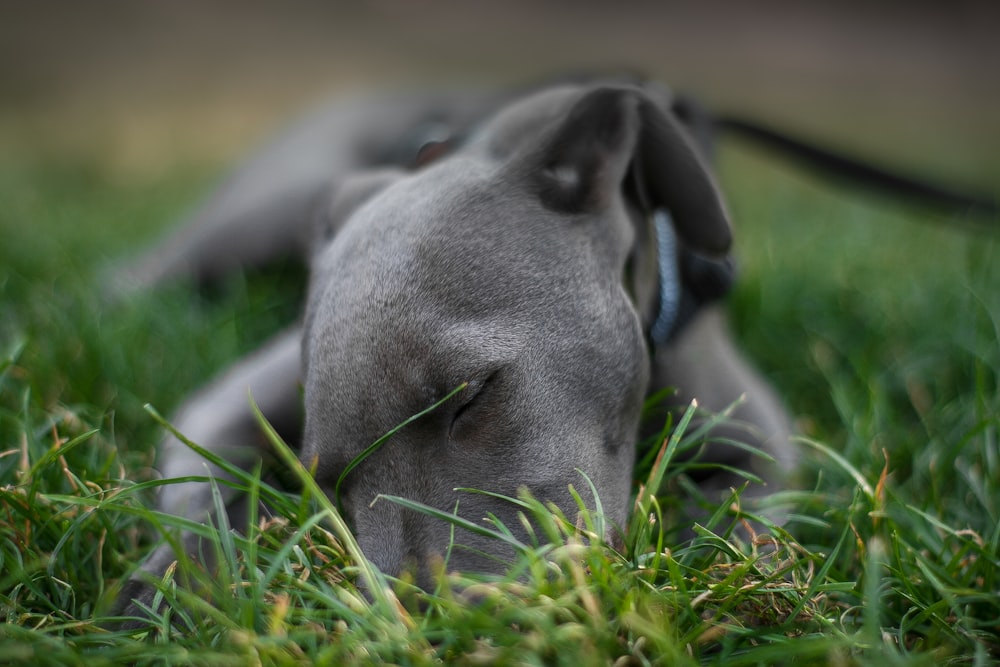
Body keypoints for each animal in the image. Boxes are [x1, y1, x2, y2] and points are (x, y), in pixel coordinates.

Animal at [111, 75, 796, 624]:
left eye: (473, 397)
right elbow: (203, 480)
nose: (430, 623)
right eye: (327, 483)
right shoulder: (230, 399)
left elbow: (744, 531)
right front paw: (168, 585)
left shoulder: (762, 440)